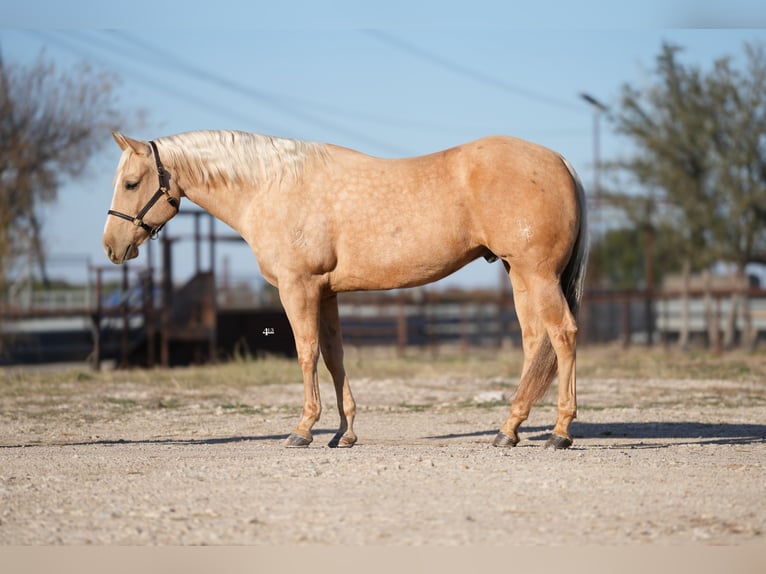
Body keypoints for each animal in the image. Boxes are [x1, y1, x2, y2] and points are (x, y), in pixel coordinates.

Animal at [103, 130, 588, 450]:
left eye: (131, 183)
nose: (112, 247)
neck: (272, 187)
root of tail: (561, 161)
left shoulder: (298, 288)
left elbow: (306, 353)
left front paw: (303, 430)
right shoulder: (326, 293)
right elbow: (334, 356)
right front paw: (344, 432)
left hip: (538, 274)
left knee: (563, 335)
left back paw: (560, 432)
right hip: (519, 274)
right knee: (535, 342)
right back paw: (509, 430)